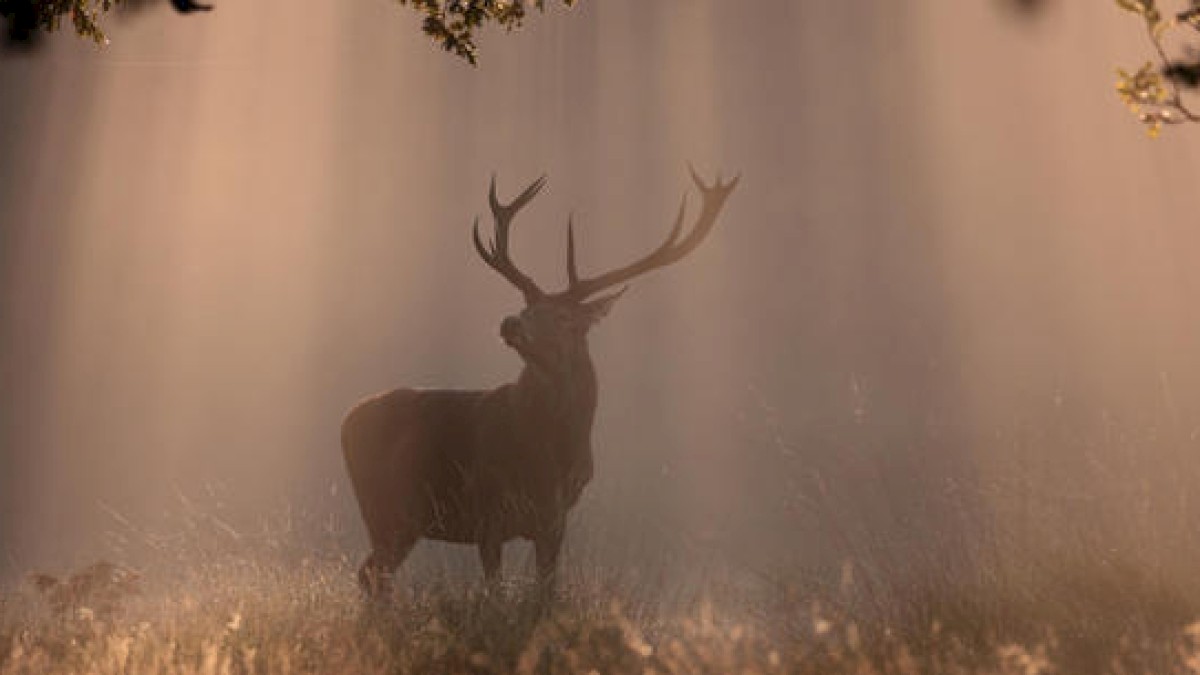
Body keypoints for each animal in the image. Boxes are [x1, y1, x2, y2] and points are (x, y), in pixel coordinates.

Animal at [340, 165, 739, 595]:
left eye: (564, 318)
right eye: (527, 306)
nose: (510, 322)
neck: (550, 454)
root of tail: (347, 420)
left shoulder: (556, 519)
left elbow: (545, 591)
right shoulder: (488, 510)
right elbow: (495, 593)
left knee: (372, 574)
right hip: (385, 508)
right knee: (373, 574)